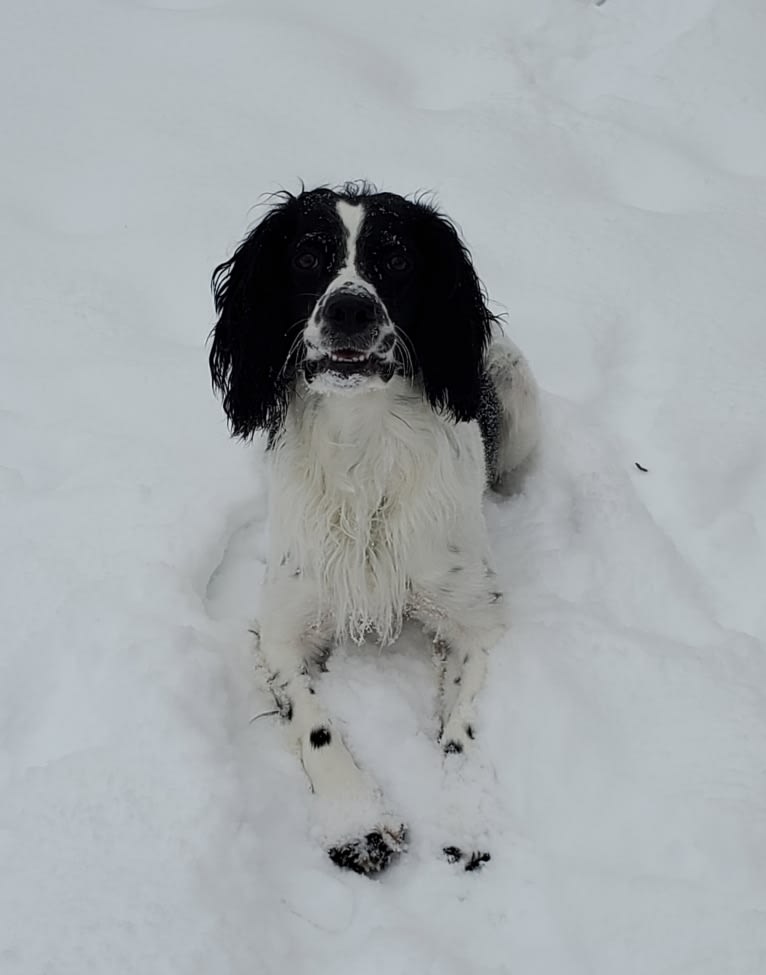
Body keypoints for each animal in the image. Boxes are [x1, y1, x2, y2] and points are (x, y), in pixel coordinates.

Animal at [210, 183, 540, 876]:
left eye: (396, 260)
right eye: (307, 257)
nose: (350, 310)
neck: (363, 442)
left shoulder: (477, 620)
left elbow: (461, 731)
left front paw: (464, 819)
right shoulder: (282, 626)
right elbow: (314, 723)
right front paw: (357, 822)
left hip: (514, 384)